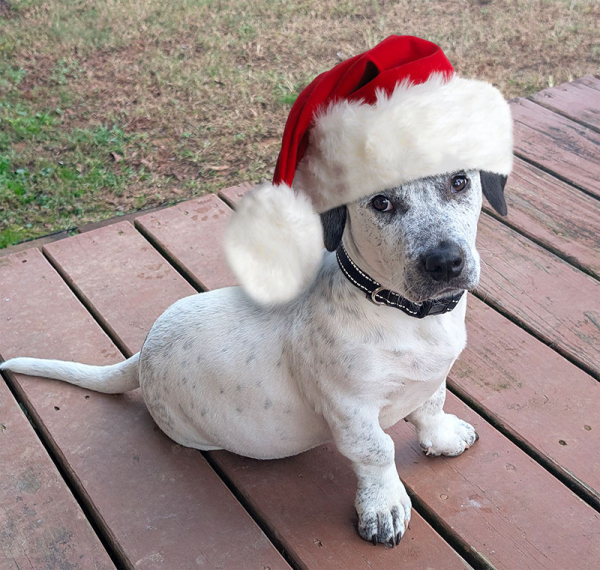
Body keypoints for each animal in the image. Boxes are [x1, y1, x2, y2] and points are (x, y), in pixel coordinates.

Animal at [0, 169, 508, 544]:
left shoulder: (430, 380)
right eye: (381, 203)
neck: (403, 312)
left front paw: (443, 437)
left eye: (459, 182)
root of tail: (141, 354)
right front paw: (384, 507)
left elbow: (431, 407)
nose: (445, 262)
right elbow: (377, 452)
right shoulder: (351, 411)